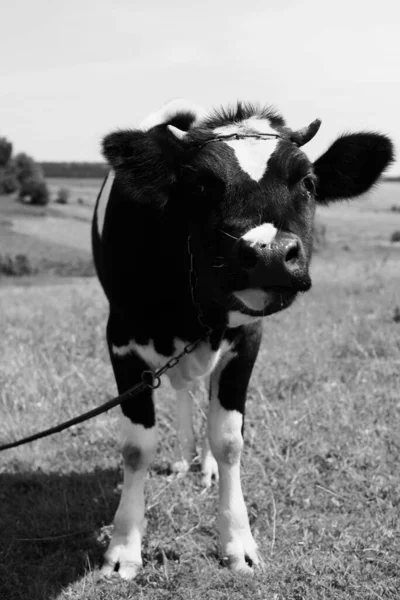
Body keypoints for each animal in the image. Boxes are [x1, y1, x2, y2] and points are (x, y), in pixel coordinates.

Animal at [91, 101, 394, 580]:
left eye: (308, 183)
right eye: (200, 185)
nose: (270, 254)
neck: (191, 305)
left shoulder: (247, 338)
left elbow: (229, 440)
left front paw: (238, 542)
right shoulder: (120, 338)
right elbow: (137, 448)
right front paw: (123, 547)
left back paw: (205, 467)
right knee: (182, 390)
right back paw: (184, 458)